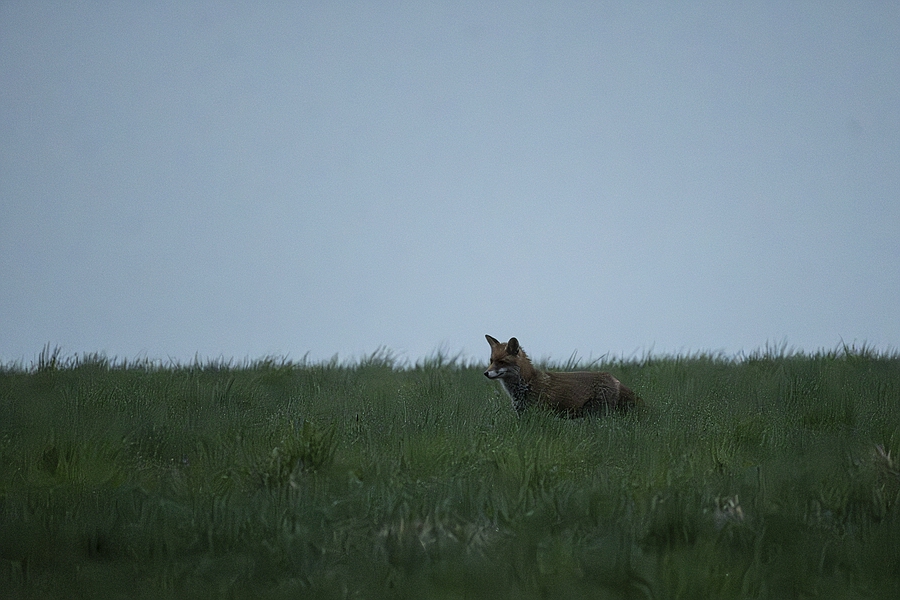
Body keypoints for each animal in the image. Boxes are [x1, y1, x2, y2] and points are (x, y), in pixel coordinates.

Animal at [484, 334, 640, 417]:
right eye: (491, 361)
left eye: (501, 362)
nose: (486, 373)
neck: (527, 384)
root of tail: (614, 379)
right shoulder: (522, 414)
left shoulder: (538, 412)